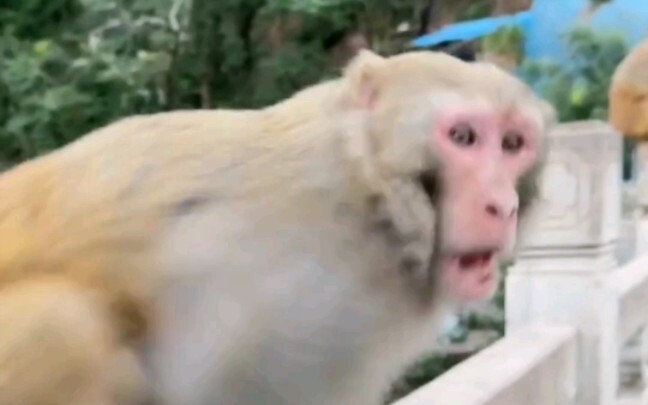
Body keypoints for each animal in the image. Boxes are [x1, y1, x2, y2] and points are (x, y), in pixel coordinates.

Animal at [0, 49, 554, 405]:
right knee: (63, 328)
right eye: (463, 137)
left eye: (512, 144)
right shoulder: (276, 302)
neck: (364, 198)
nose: (502, 205)